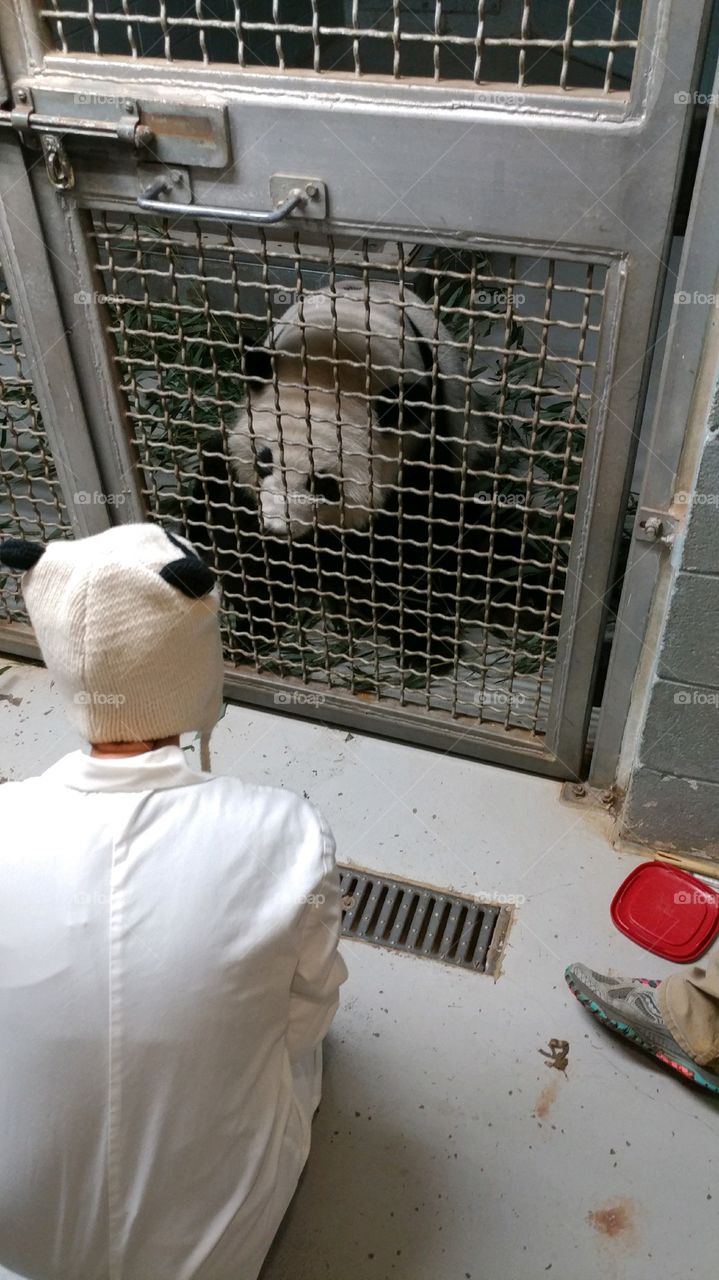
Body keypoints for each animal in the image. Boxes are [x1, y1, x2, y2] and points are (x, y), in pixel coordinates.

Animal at [188, 278, 493, 666]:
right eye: (264, 460)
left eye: (323, 482)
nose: (279, 528)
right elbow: (229, 521)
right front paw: (258, 617)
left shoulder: (420, 443)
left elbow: (415, 539)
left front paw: (425, 646)